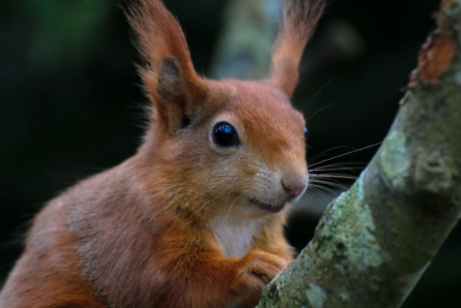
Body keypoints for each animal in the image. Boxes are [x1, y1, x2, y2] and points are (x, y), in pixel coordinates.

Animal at [0, 0, 326, 308]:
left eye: (304, 128)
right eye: (224, 134)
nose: (295, 185)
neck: (234, 218)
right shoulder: (136, 233)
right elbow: (173, 283)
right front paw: (250, 267)